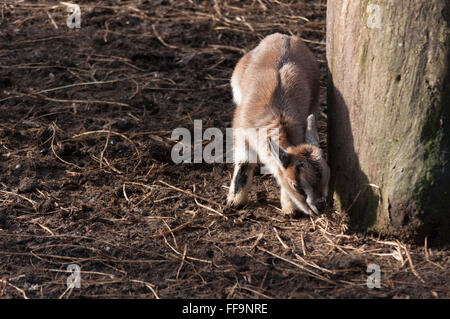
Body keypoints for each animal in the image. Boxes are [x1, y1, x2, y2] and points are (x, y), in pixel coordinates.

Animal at [227, 33, 328, 218]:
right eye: (296, 185)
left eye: (325, 178)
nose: (319, 207)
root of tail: (283, 36)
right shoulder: (242, 133)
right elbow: (244, 162)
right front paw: (235, 201)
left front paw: (290, 208)